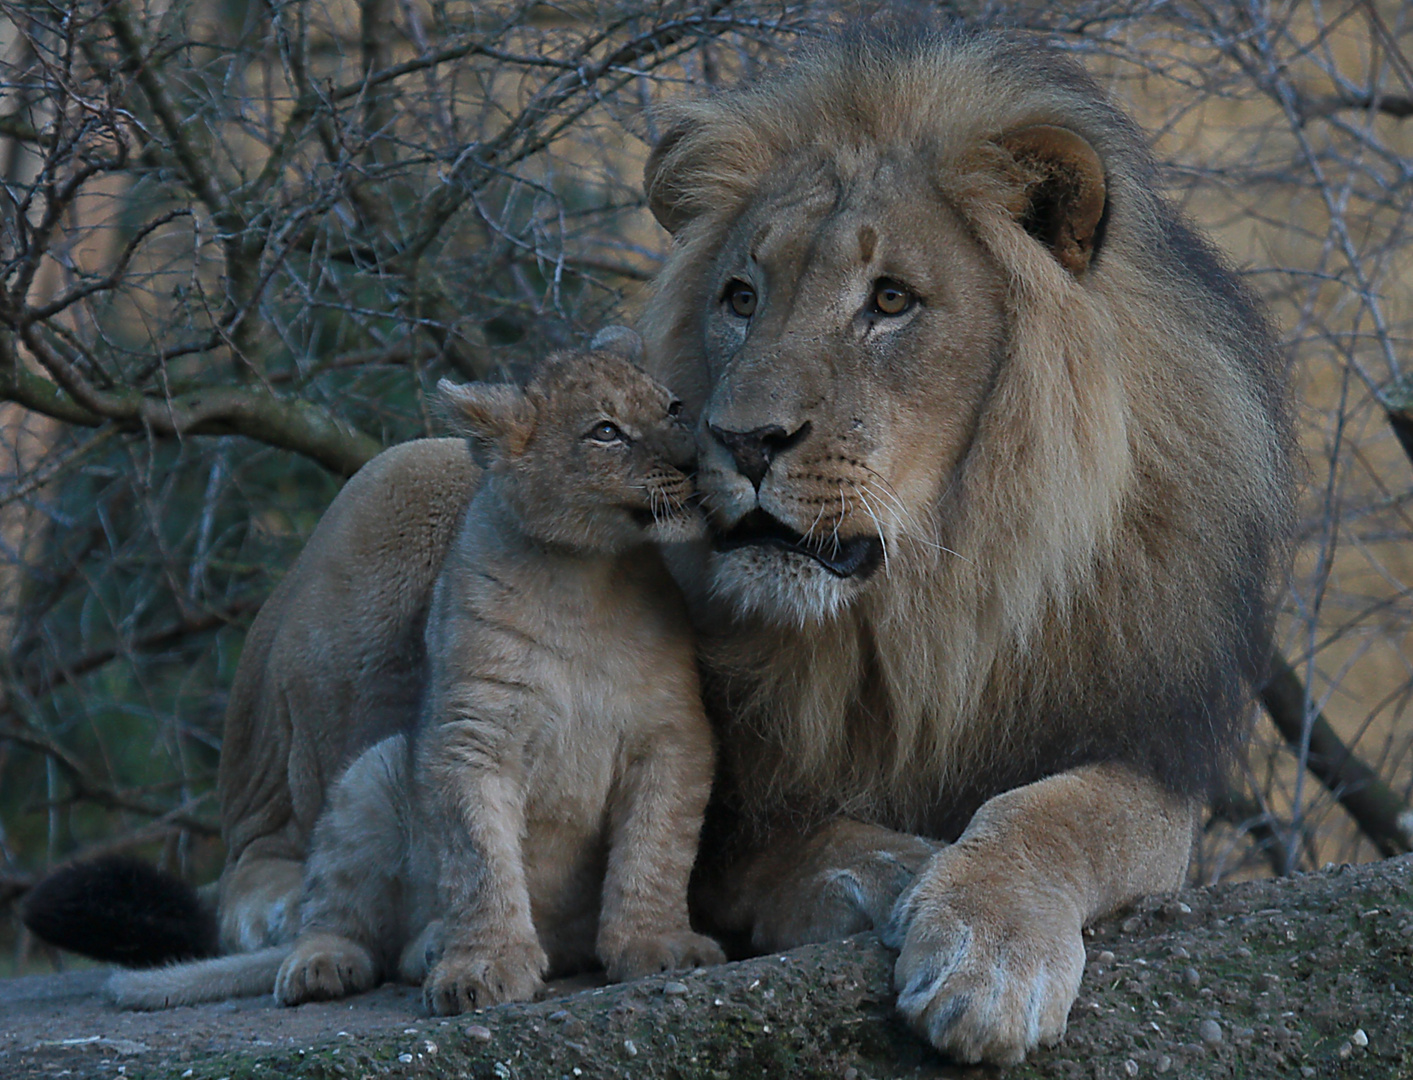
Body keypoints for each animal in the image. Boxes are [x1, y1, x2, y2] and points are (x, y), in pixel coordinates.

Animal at [33, 23, 1294, 1063]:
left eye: (891, 300)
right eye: (742, 295)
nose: (742, 439)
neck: (934, 601)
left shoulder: (1143, 739)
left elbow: (1064, 816)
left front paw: (986, 948)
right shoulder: (719, 803)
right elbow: (797, 846)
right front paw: (895, 874)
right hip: (399, 481)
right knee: (264, 834)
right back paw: (287, 908)